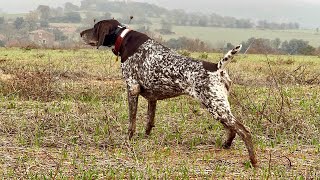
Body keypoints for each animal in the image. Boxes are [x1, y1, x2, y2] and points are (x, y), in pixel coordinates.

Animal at [80, 19, 258, 166]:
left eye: (95, 27)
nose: (81, 33)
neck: (122, 38)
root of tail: (217, 67)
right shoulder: (152, 98)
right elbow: (149, 122)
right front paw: (145, 138)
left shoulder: (132, 89)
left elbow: (132, 122)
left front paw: (129, 140)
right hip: (218, 107)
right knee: (233, 129)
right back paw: (226, 145)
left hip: (215, 106)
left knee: (244, 131)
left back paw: (253, 161)